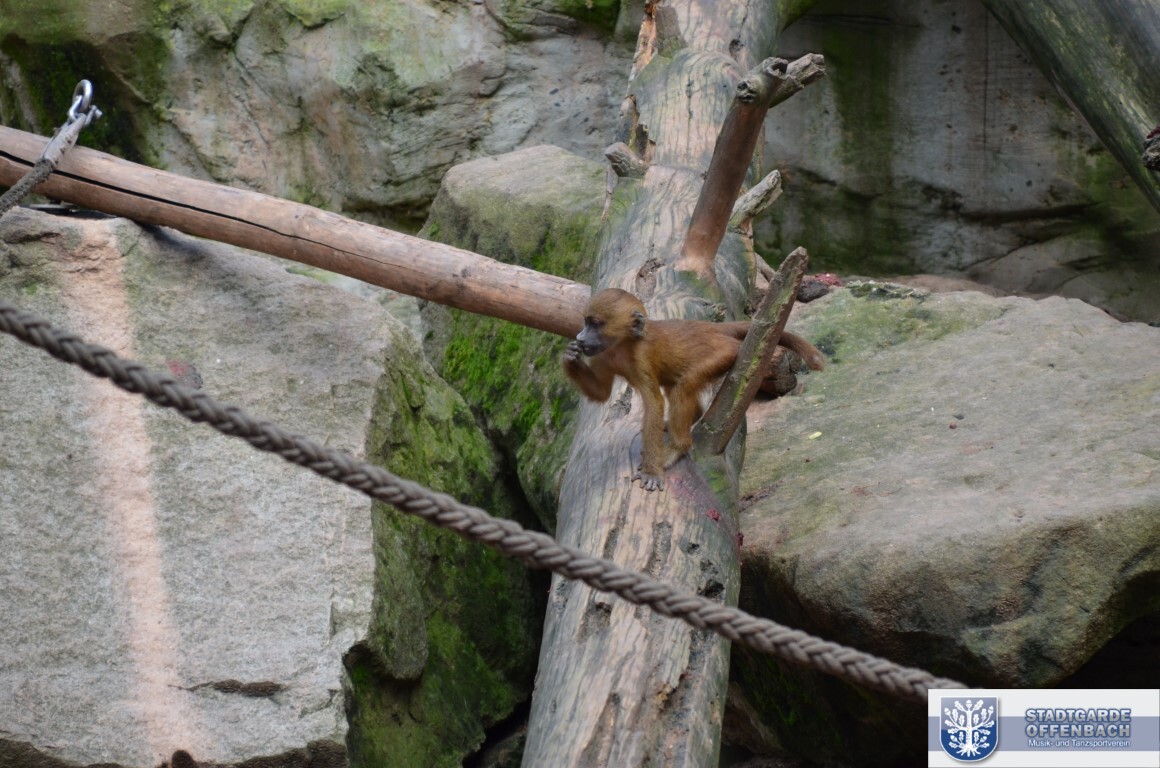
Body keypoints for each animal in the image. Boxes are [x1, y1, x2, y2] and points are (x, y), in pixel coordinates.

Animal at [563, 288, 825, 491]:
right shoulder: (601, 354)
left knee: (683, 386)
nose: (580, 337)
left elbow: (654, 404)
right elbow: (602, 393)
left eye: (595, 324)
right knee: (676, 386)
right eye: (586, 322)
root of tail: (712, 329)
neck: (623, 345)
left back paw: (678, 447)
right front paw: (570, 357)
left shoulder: (640, 357)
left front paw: (652, 471)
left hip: (724, 353)